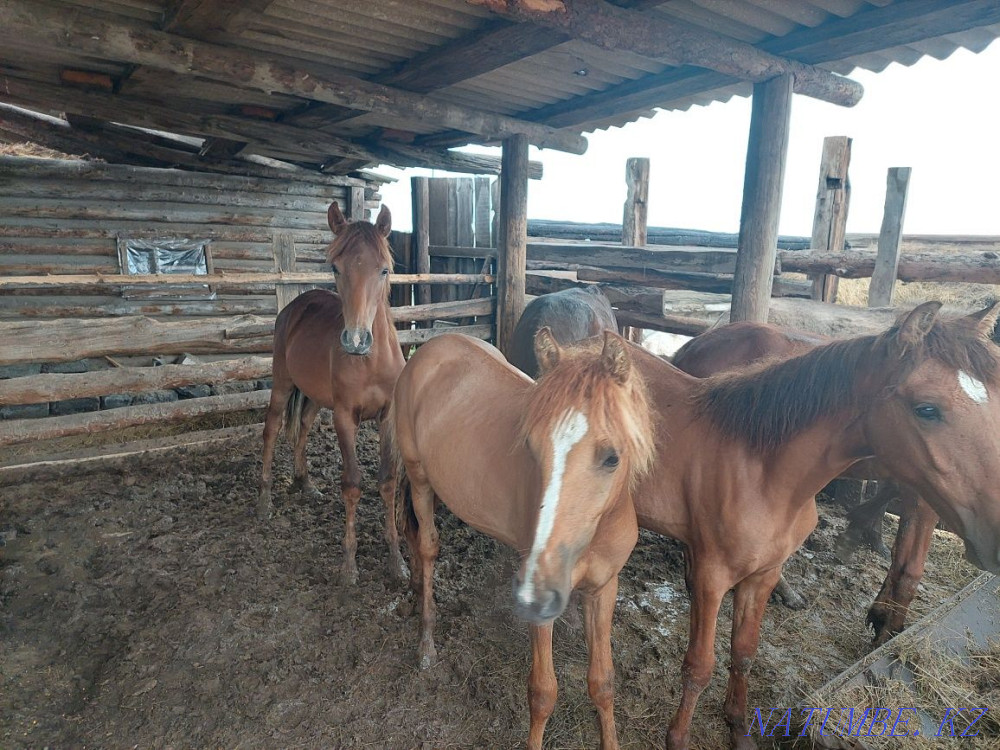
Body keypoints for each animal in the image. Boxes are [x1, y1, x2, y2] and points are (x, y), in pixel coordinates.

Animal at [258, 201, 407, 585]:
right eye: (335, 267)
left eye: (384, 269)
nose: (356, 340)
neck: (370, 361)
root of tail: (296, 306)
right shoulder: (344, 418)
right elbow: (352, 484)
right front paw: (349, 566)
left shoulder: (388, 417)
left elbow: (387, 481)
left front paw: (397, 561)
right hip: (282, 384)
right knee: (271, 430)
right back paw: (265, 500)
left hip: (312, 397)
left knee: (303, 429)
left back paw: (305, 483)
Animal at [391, 330, 654, 750]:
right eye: (532, 447)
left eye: (612, 457)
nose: (536, 591)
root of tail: (432, 346)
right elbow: (543, 691)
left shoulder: (603, 588)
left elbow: (603, 682)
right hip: (420, 481)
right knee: (427, 545)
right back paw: (426, 642)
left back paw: (416, 592)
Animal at [556, 302, 1000, 750]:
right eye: (926, 408)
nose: (991, 533)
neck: (763, 471)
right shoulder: (713, 578)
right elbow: (699, 666)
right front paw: (678, 738)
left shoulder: (764, 574)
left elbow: (744, 653)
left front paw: (738, 729)